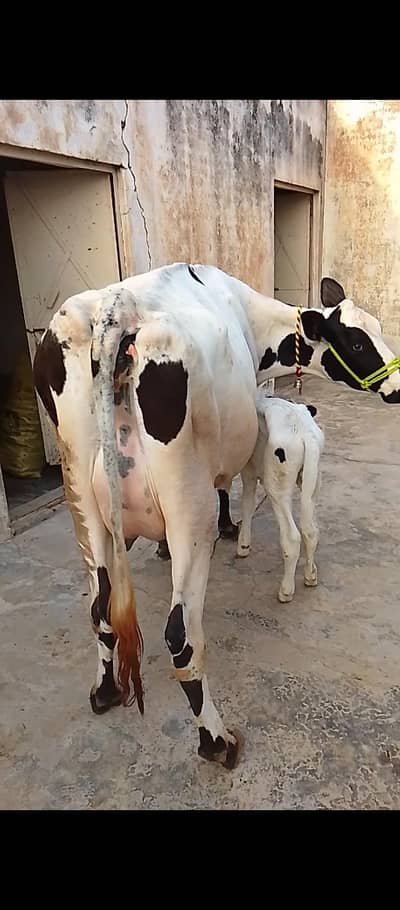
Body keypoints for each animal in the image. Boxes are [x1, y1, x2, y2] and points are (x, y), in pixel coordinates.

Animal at [237, 393, 325, 604]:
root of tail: (303, 431)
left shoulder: (248, 471)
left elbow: (248, 503)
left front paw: (243, 545)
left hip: (277, 488)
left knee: (292, 536)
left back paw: (286, 590)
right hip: (312, 481)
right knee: (311, 530)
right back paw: (310, 575)